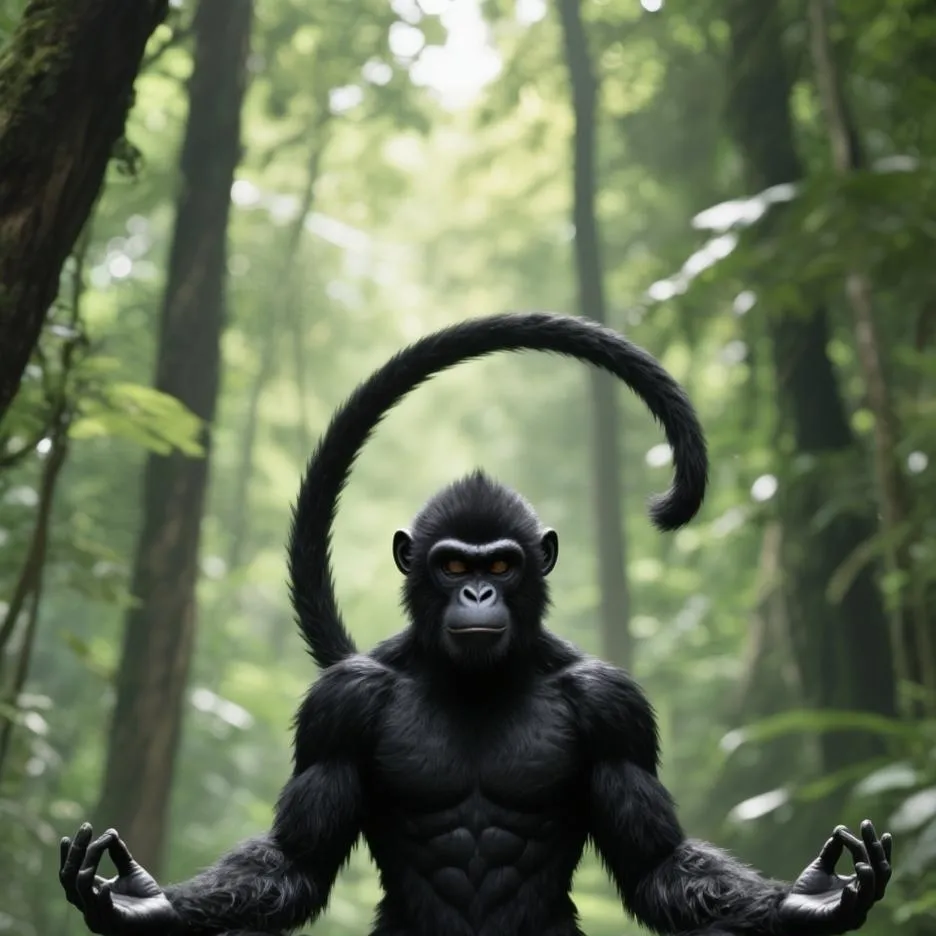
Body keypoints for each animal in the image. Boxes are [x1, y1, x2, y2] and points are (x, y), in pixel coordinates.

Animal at [59, 312, 892, 936]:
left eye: (502, 566)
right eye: (455, 566)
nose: (480, 595)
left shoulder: (615, 706)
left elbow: (658, 867)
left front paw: (808, 900)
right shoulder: (340, 702)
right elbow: (294, 864)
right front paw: (145, 904)